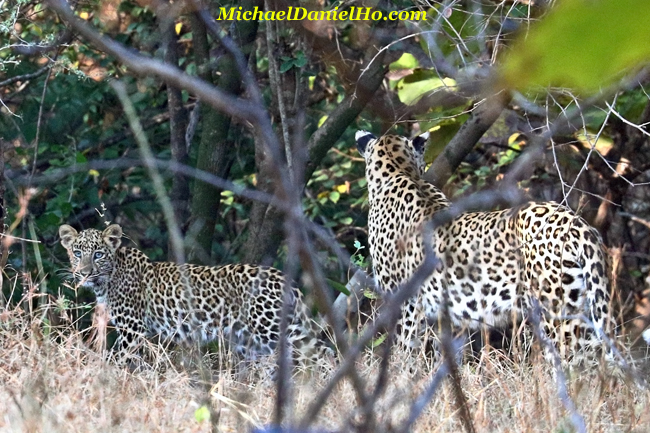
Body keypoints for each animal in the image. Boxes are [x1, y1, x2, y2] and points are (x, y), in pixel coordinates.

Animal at [58, 224, 330, 362]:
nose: (83, 273)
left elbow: (117, 359)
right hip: (254, 339)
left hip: (272, 327)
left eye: (98, 254)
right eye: (77, 253)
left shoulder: (132, 328)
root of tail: (285, 279)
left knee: (320, 351)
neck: (108, 278)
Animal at [354, 130, 612, 362]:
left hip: (556, 313)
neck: (399, 170)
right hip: (585, 305)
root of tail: (576, 223)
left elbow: (405, 350)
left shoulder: (403, 303)